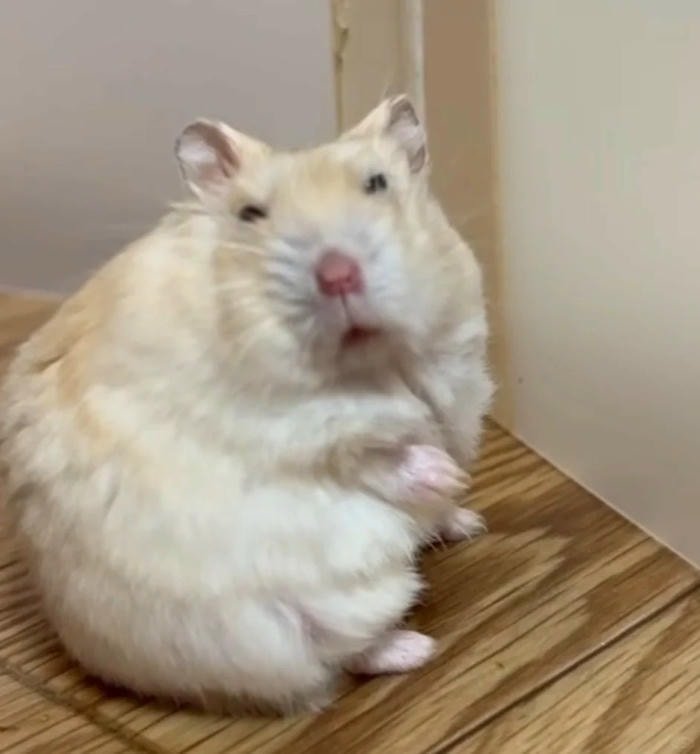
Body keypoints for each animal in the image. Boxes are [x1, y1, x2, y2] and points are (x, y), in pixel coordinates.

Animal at [0, 95, 493, 714]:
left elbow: (436, 427)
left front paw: (461, 495)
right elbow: (375, 457)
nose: (338, 275)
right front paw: (443, 473)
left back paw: (466, 526)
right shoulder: (289, 433)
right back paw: (416, 648)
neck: (375, 361)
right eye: (251, 214)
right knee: (341, 655)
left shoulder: (457, 377)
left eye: (378, 183)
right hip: (294, 615)